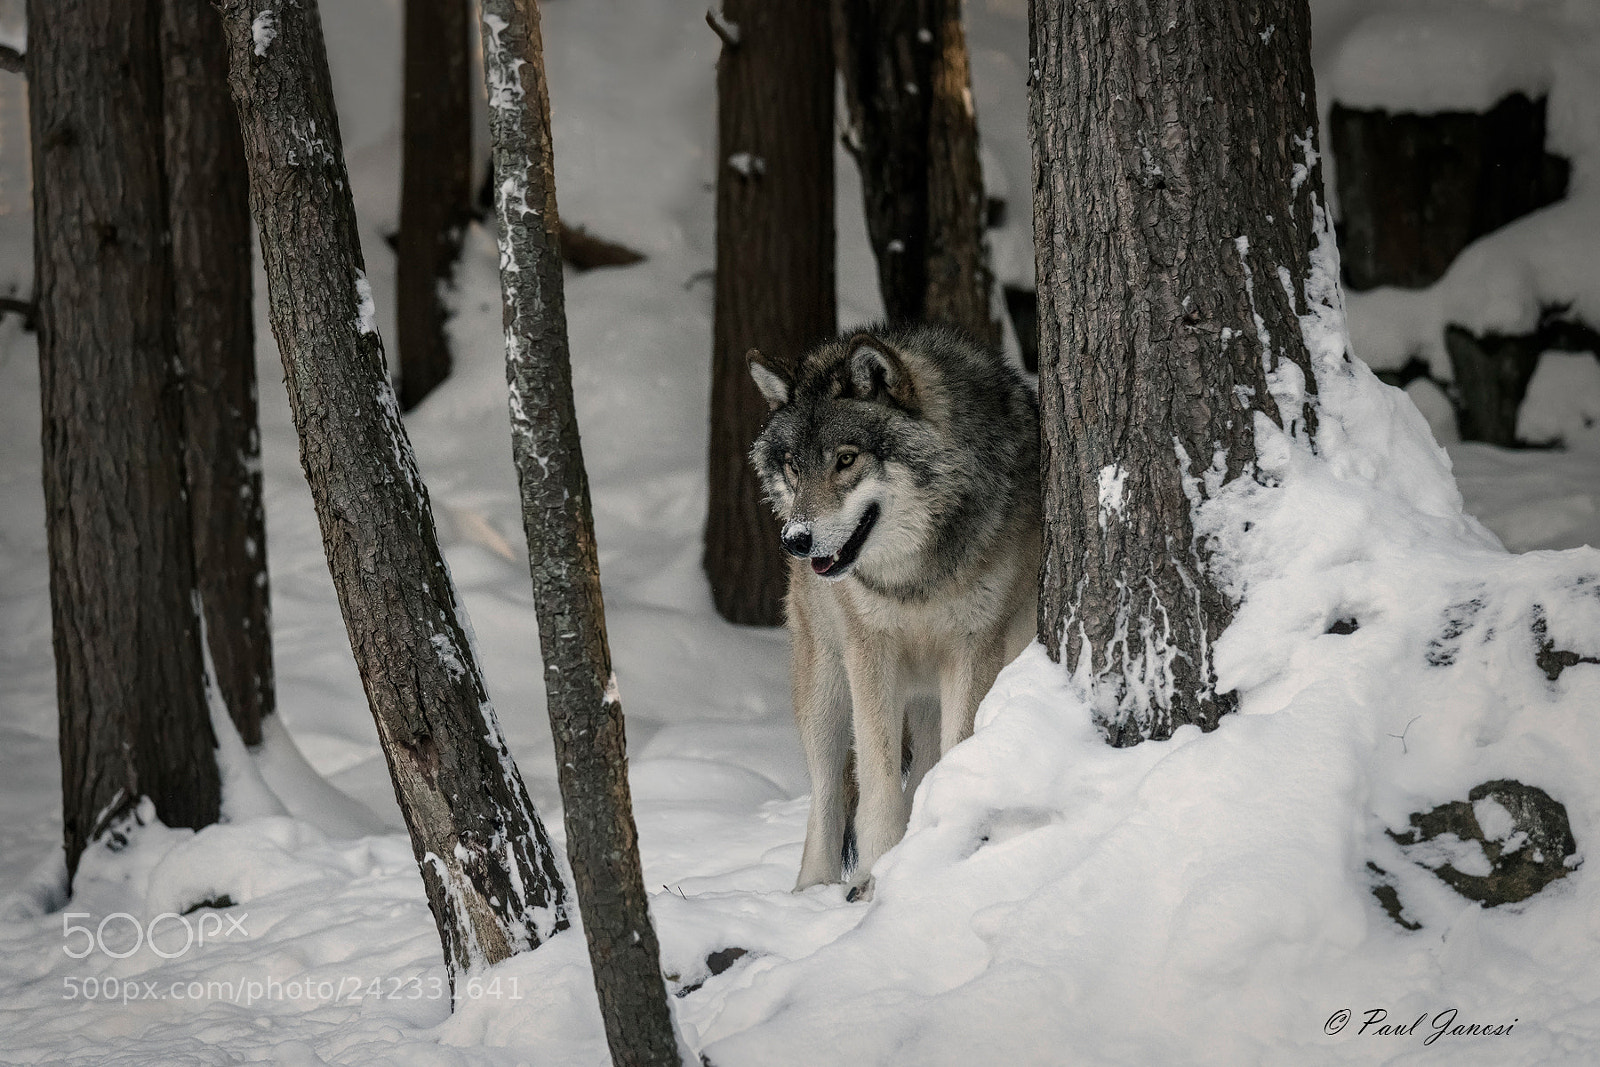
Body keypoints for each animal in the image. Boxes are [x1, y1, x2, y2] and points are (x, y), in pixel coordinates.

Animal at [747, 323, 1040, 898]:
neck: (914, 580)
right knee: (827, 795)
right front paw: (873, 879)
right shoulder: (871, 652)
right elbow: (879, 782)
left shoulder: (975, 649)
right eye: (794, 466)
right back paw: (810, 891)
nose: (797, 540)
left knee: (924, 764)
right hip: (825, 690)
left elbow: (957, 751)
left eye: (846, 459)